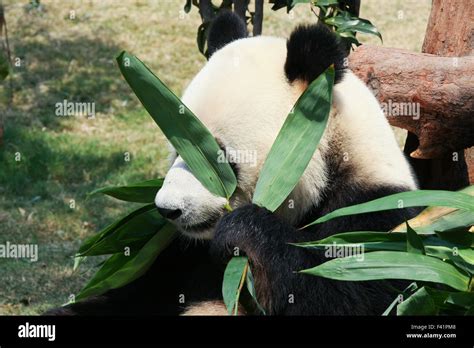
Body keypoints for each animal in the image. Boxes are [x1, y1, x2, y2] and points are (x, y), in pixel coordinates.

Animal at [48, 11, 418, 316]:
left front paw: (244, 230)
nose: (167, 210)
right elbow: (133, 294)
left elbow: (356, 289)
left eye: (217, 157)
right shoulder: (176, 251)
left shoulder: (377, 210)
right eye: (176, 150)